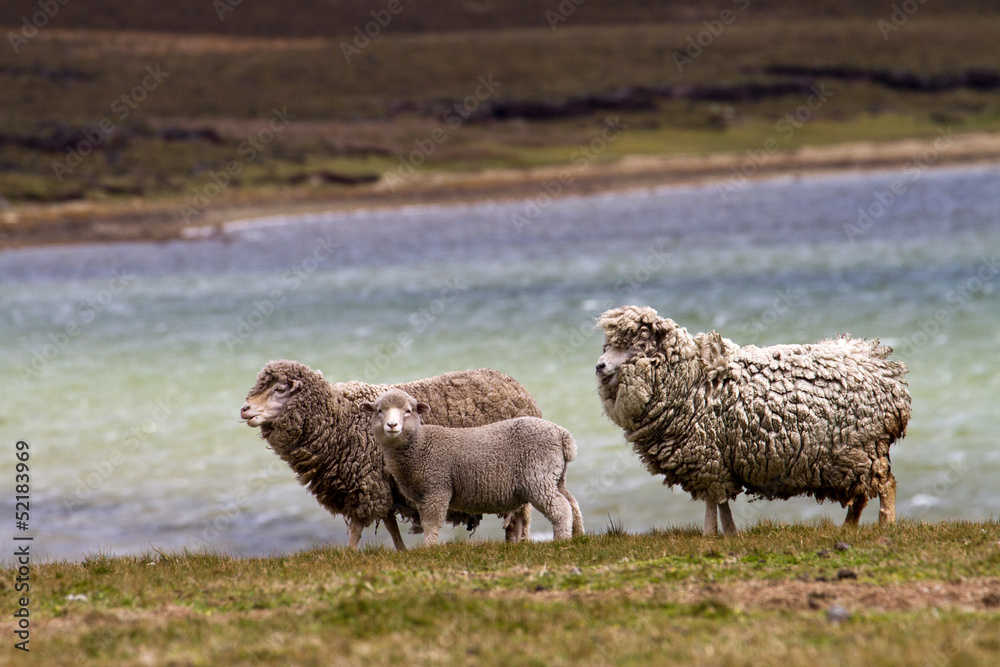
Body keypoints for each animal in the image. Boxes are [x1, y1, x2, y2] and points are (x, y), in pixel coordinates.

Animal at [239, 362, 544, 552]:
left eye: (279, 389)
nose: (244, 409)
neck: (340, 418)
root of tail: (519, 388)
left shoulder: (366, 483)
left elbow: (357, 528)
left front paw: (349, 555)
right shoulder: (381, 484)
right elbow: (389, 525)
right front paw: (401, 551)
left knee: (522, 515)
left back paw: (520, 543)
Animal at [362, 386, 584, 548]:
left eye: (408, 411)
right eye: (379, 411)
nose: (392, 425)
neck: (419, 445)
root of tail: (562, 434)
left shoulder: (437, 488)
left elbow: (431, 524)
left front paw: (428, 548)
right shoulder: (425, 495)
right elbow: (426, 523)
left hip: (538, 477)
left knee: (561, 508)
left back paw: (562, 540)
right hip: (555, 476)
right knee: (572, 503)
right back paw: (579, 536)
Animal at [592, 306, 916, 536]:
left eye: (637, 343)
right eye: (609, 345)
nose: (599, 366)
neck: (690, 380)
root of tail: (883, 368)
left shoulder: (707, 458)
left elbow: (712, 502)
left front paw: (709, 535)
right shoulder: (718, 462)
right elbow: (721, 501)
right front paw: (730, 534)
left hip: (863, 447)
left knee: (885, 485)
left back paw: (886, 524)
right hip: (854, 456)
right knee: (861, 495)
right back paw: (848, 528)